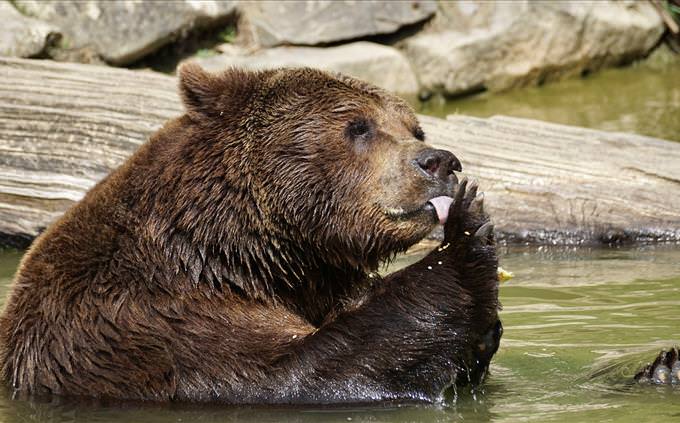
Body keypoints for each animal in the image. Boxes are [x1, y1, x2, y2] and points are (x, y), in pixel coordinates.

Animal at [0, 64, 500, 406]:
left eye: (415, 128)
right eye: (358, 126)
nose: (439, 161)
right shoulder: (146, 323)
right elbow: (293, 375)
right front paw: (468, 234)